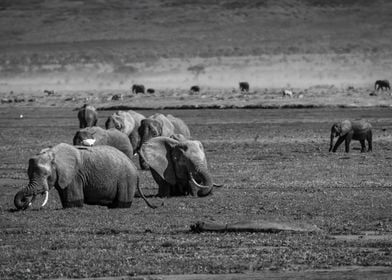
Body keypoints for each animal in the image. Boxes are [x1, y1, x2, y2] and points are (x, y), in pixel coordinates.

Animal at [14, 143, 157, 209]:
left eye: (47, 175)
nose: (26, 201)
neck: (53, 153)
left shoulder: (74, 175)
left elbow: (74, 202)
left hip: (126, 179)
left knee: (122, 203)